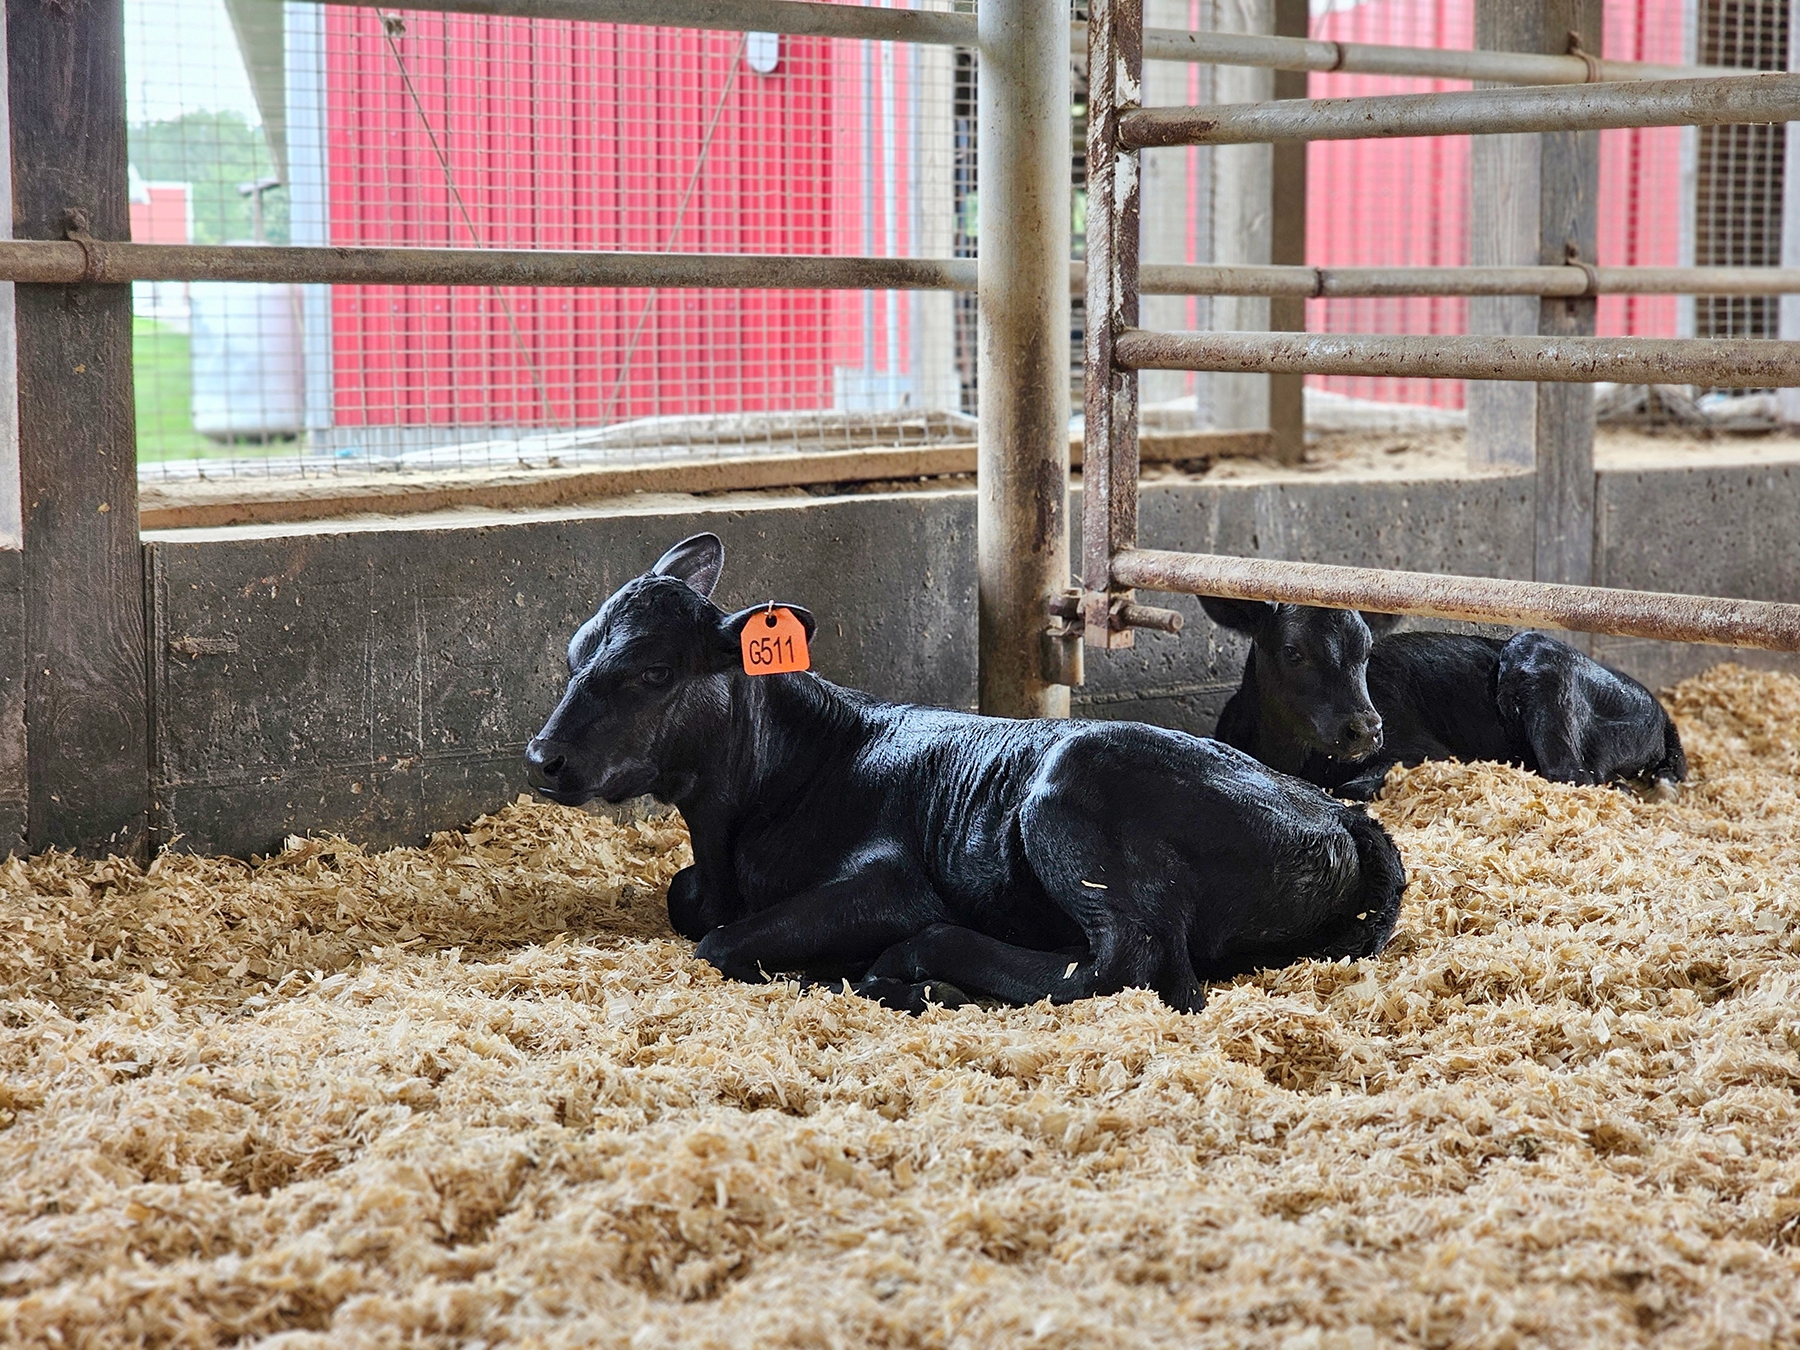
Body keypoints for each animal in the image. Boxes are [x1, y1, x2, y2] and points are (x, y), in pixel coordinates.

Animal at [522, 532, 1404, 1008]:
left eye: (652, 672)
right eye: (571, 653)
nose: (543, 757)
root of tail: (1340, 814)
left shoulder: (891, 883)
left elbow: (717, 944)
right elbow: (687, 906)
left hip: (1066, 798)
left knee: (1125, 962)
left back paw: (920, 966)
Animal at [1195, 601, 1684, 802]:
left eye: (1366, 650)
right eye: (1293, 651)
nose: (1366, 729)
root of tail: (1661, 714)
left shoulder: (1425, 751)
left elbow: (1353, 787)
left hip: (1534, 652)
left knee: (1576, 775)